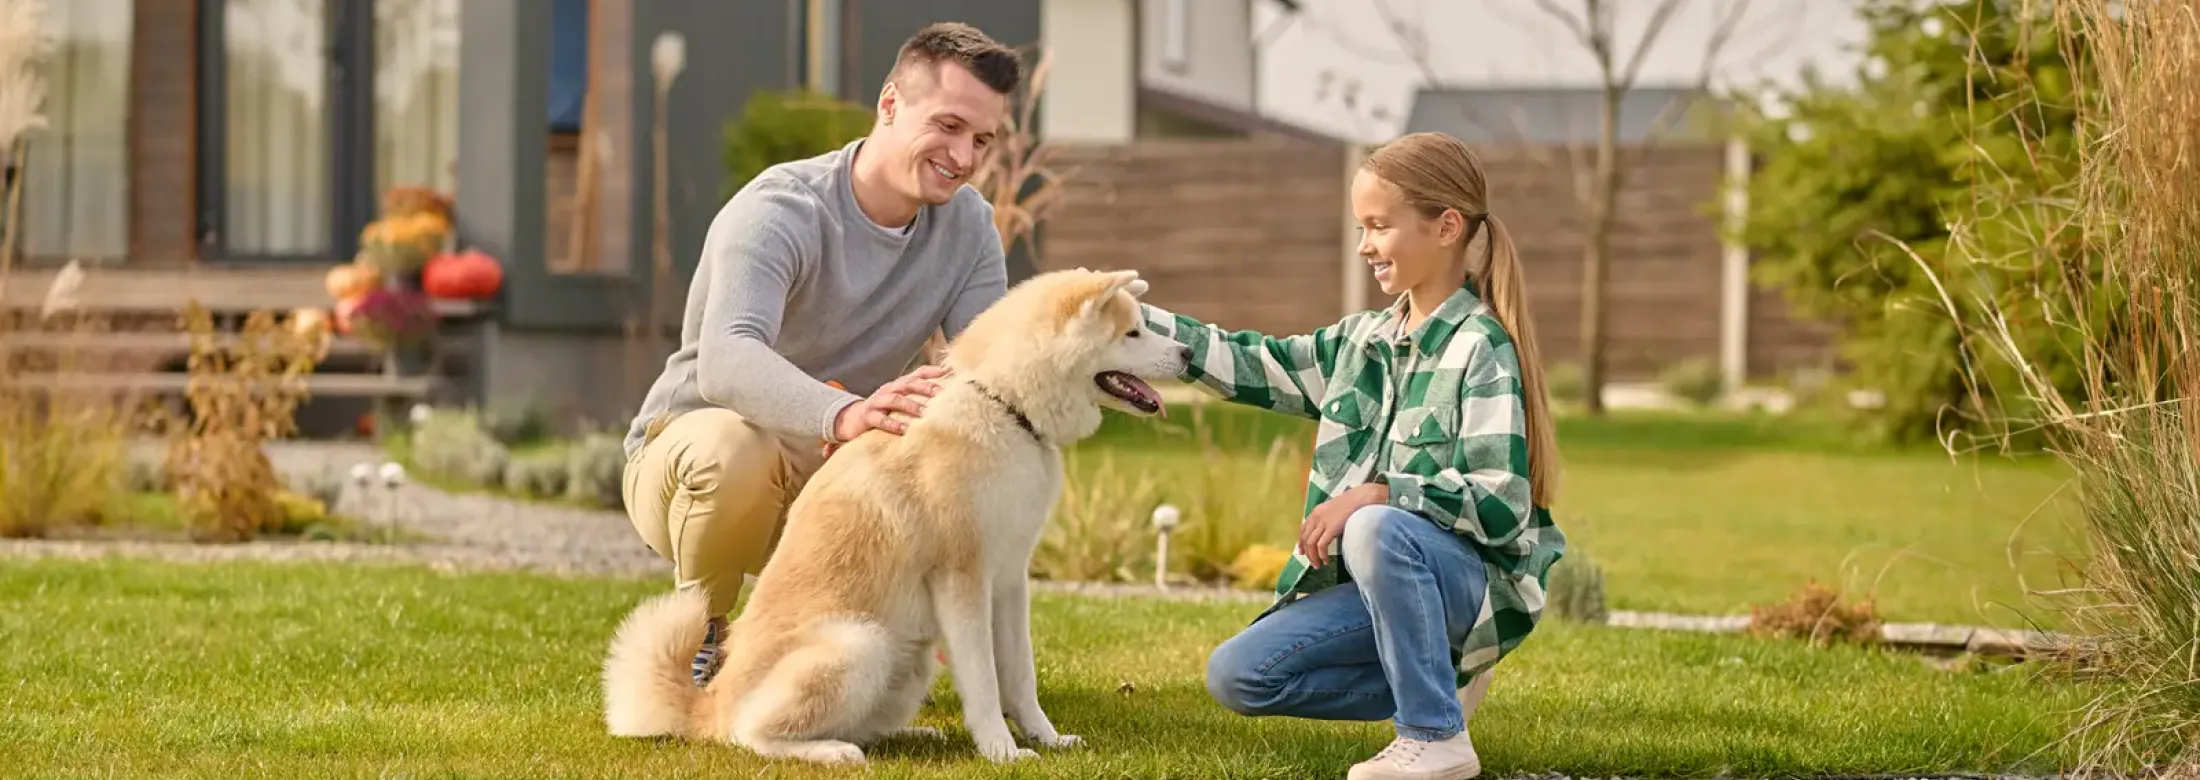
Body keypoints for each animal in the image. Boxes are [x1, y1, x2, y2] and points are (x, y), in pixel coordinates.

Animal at [598, 266, 1188, 764]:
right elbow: (984, 682)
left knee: (861, 725)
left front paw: (1046, 738)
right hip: (860, 645)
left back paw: (910, 733)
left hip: (910, 660)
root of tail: (708, 706)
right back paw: (832, 752)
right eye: (1133, 333)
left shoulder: (1010, 581)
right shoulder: (962, 581)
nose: (1185, 352)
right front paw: (1001, 750)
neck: (1003, 406)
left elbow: (1020, 676)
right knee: (752, 735)